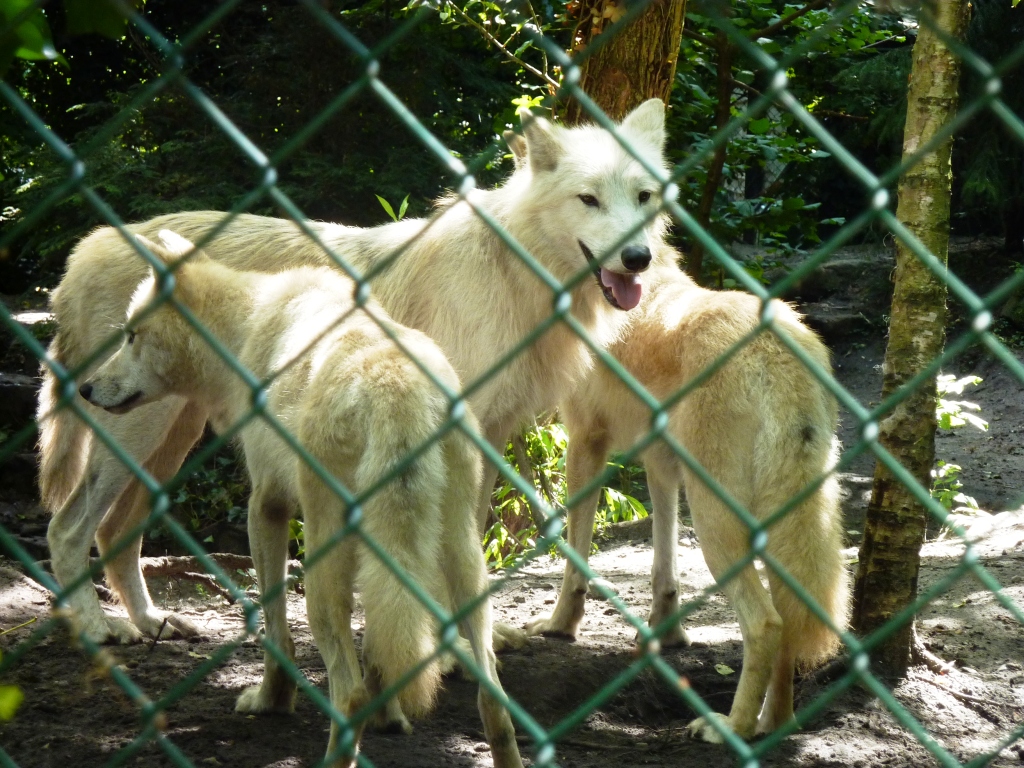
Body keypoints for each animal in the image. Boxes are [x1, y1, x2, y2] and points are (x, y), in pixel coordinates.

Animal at [79, 231, 523, 768]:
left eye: (131, 336)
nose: (85, 388)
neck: (245, 330)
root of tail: (396, 385)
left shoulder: (265, 507)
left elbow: (275, 631)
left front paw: (272, 701)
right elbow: (382, 648)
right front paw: (390, 718)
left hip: (322, 570)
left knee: (347, 694)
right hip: (460, 560)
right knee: (492, 698)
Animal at [525, 256, 850, 744]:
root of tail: (777, 351)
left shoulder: (585, 442)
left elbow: (574, 559)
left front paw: (559, 626)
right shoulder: (660, 460)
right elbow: (665, 563)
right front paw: (667, 634)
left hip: (716, 523)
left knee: (766, 623)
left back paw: (732, 727)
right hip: (778, 528)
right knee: (789, 624)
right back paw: (774, 724)